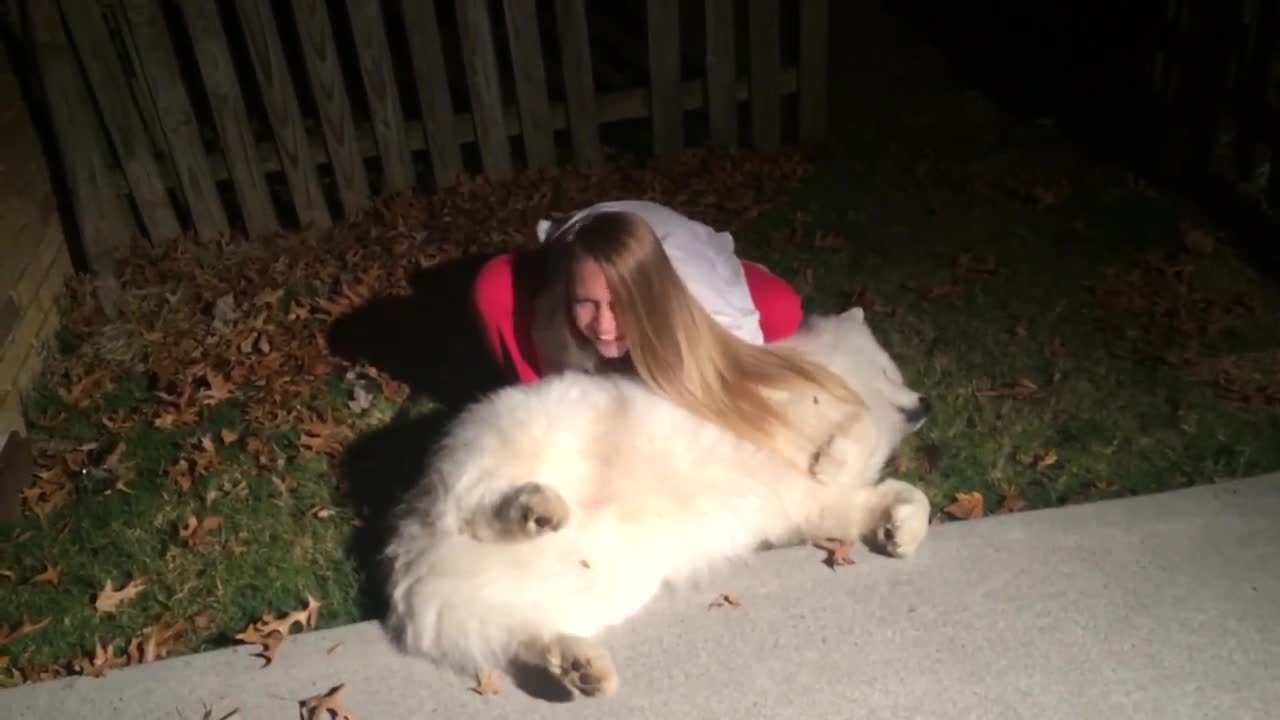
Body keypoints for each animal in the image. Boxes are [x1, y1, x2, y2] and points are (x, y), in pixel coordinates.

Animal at [378, 303, 931, 696]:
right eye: (891, 369)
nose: (928, 402)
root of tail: (419, 551)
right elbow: (854, 423)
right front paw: (838, 453)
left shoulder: (814, 505)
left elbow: (908, 495)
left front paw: (900, 531)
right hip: (512, 449)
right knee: (474, 504)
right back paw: (537, 508)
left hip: (604, 583)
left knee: (528, 635)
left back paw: (583, 665)